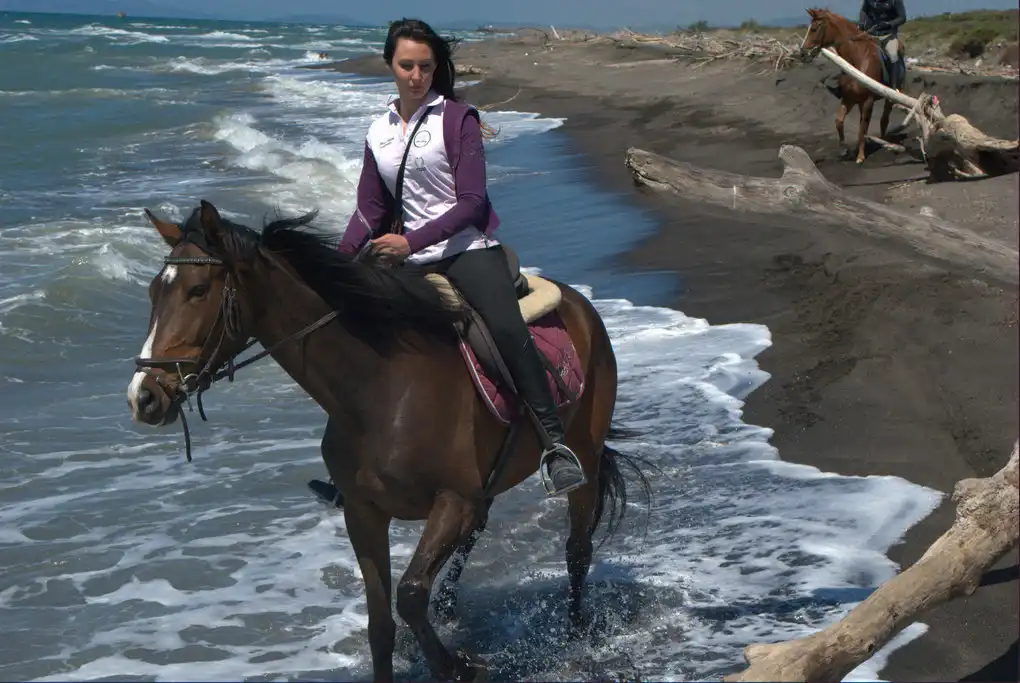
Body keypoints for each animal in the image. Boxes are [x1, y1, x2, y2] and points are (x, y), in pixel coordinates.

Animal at [125, 200, 651, 682]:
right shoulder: (364, 512)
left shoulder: (452, 501)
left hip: (582, 454)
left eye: (198, 290)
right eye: (152, 292)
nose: (144, 397)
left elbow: (411, 594)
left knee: (577, 549)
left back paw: (576, 634)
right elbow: (381, 622)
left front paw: (460, 665)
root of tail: (579, 302)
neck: (379, 387)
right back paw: (454, 610)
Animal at [801, 7, 901, 165]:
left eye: (814, 29)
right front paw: (844, 150)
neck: (857, 61)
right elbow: (839, 121)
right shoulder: (849, 99)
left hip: (888, 97)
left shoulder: (868, 101)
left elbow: (862, 128)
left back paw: (885, 142)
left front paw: (860, 156)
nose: (803, 54)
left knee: (884, 118)